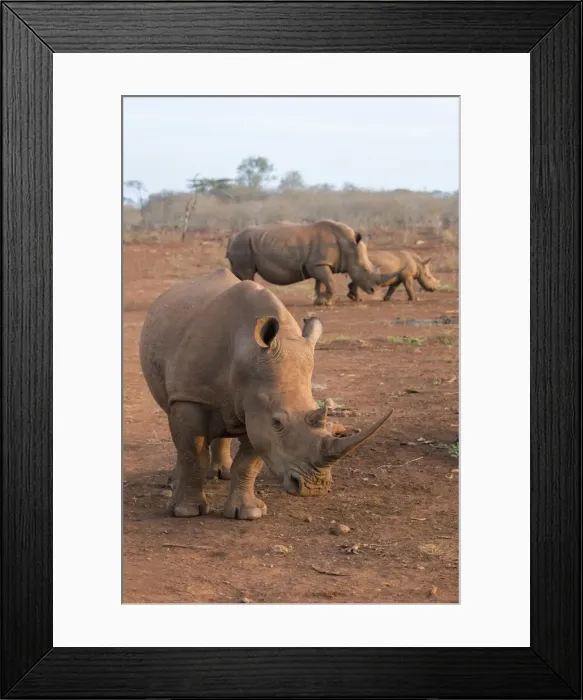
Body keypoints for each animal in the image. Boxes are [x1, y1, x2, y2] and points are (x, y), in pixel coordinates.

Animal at [139, 269, 393, 520]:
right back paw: (175, 483)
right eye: (277, 422)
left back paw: (223, 474)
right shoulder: (191, 396)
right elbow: (192, 453)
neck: (246, 354)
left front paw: (248, 513)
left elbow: (249, 461)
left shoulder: (256, 407)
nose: (314, 487)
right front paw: (186, 512)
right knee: (176, 423)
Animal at [226, 219, 402, 306]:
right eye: (365, 269)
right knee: (247, 274)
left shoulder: (319, 264)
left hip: (243, 244)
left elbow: (320, 284)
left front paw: (319, 302)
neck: (348, 245)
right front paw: (326, 303)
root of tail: (232, 239)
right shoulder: (319, 264)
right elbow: (330, 283)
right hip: (243, 245)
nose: (374, 290)